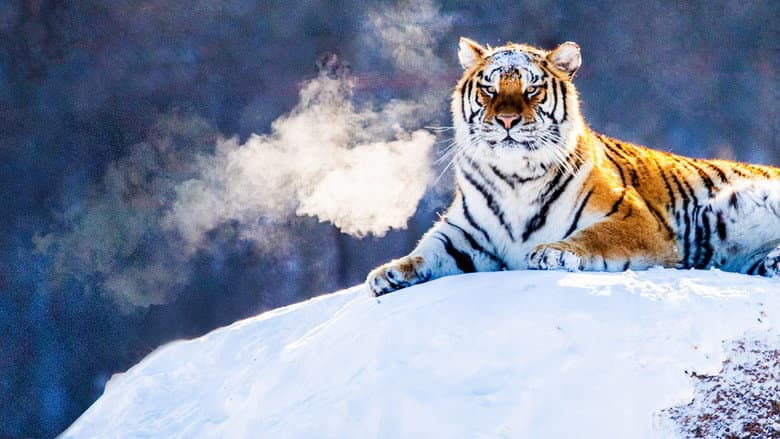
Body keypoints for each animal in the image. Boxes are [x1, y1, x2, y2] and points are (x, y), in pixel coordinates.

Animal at [367, 37, 780, 297]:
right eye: (489, 89)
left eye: (532, 90)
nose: (506, 120)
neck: (515, 178)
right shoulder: (464, 235)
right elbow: (428, 250)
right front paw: (388, 273)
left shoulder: (636, 219)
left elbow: (596, 236)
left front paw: (551, 252)